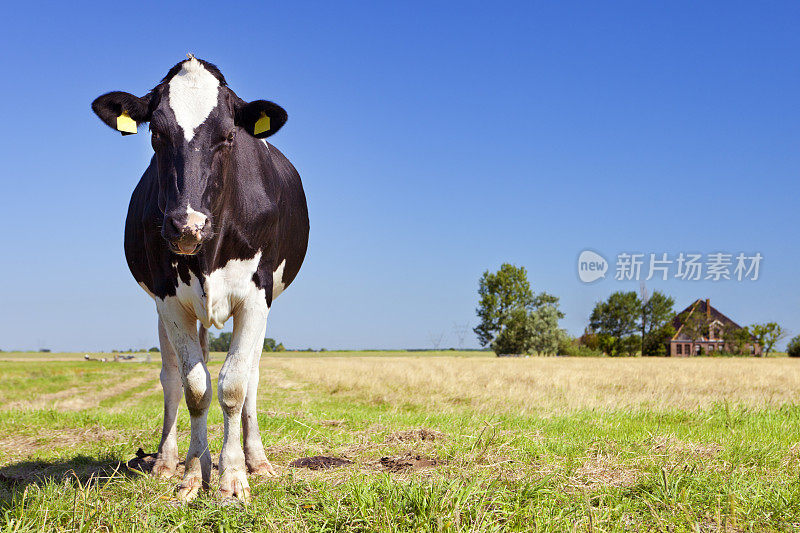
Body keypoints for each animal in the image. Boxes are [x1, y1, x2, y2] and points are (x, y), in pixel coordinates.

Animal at [91, 54, 310, 498]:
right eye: (156, 132)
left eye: (228, 135)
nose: (186, 225)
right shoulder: (168, 298)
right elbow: (195, 387)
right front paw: (194, 472)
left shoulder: (257, 295)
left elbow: (234, 385)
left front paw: (233, 476)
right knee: (172, 376)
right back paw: (166, 460)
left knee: (252, 375)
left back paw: (257, 459)